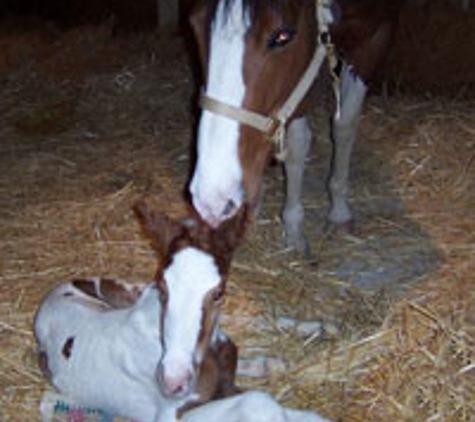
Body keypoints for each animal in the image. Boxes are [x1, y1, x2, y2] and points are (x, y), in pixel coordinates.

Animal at [34, 202, 330, 422]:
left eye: (219, 292)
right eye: (164, 287)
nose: (172, 381)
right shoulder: (172, 415)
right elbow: (261, 402)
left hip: (132, 290)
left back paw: (312, 331)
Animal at [188, 0, 404, 256]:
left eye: (283, 36)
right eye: (194, 25)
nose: (212, 199)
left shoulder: (378, 34)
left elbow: (344, 126)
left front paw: (338, 210)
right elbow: (298, 146)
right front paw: (292, 226)